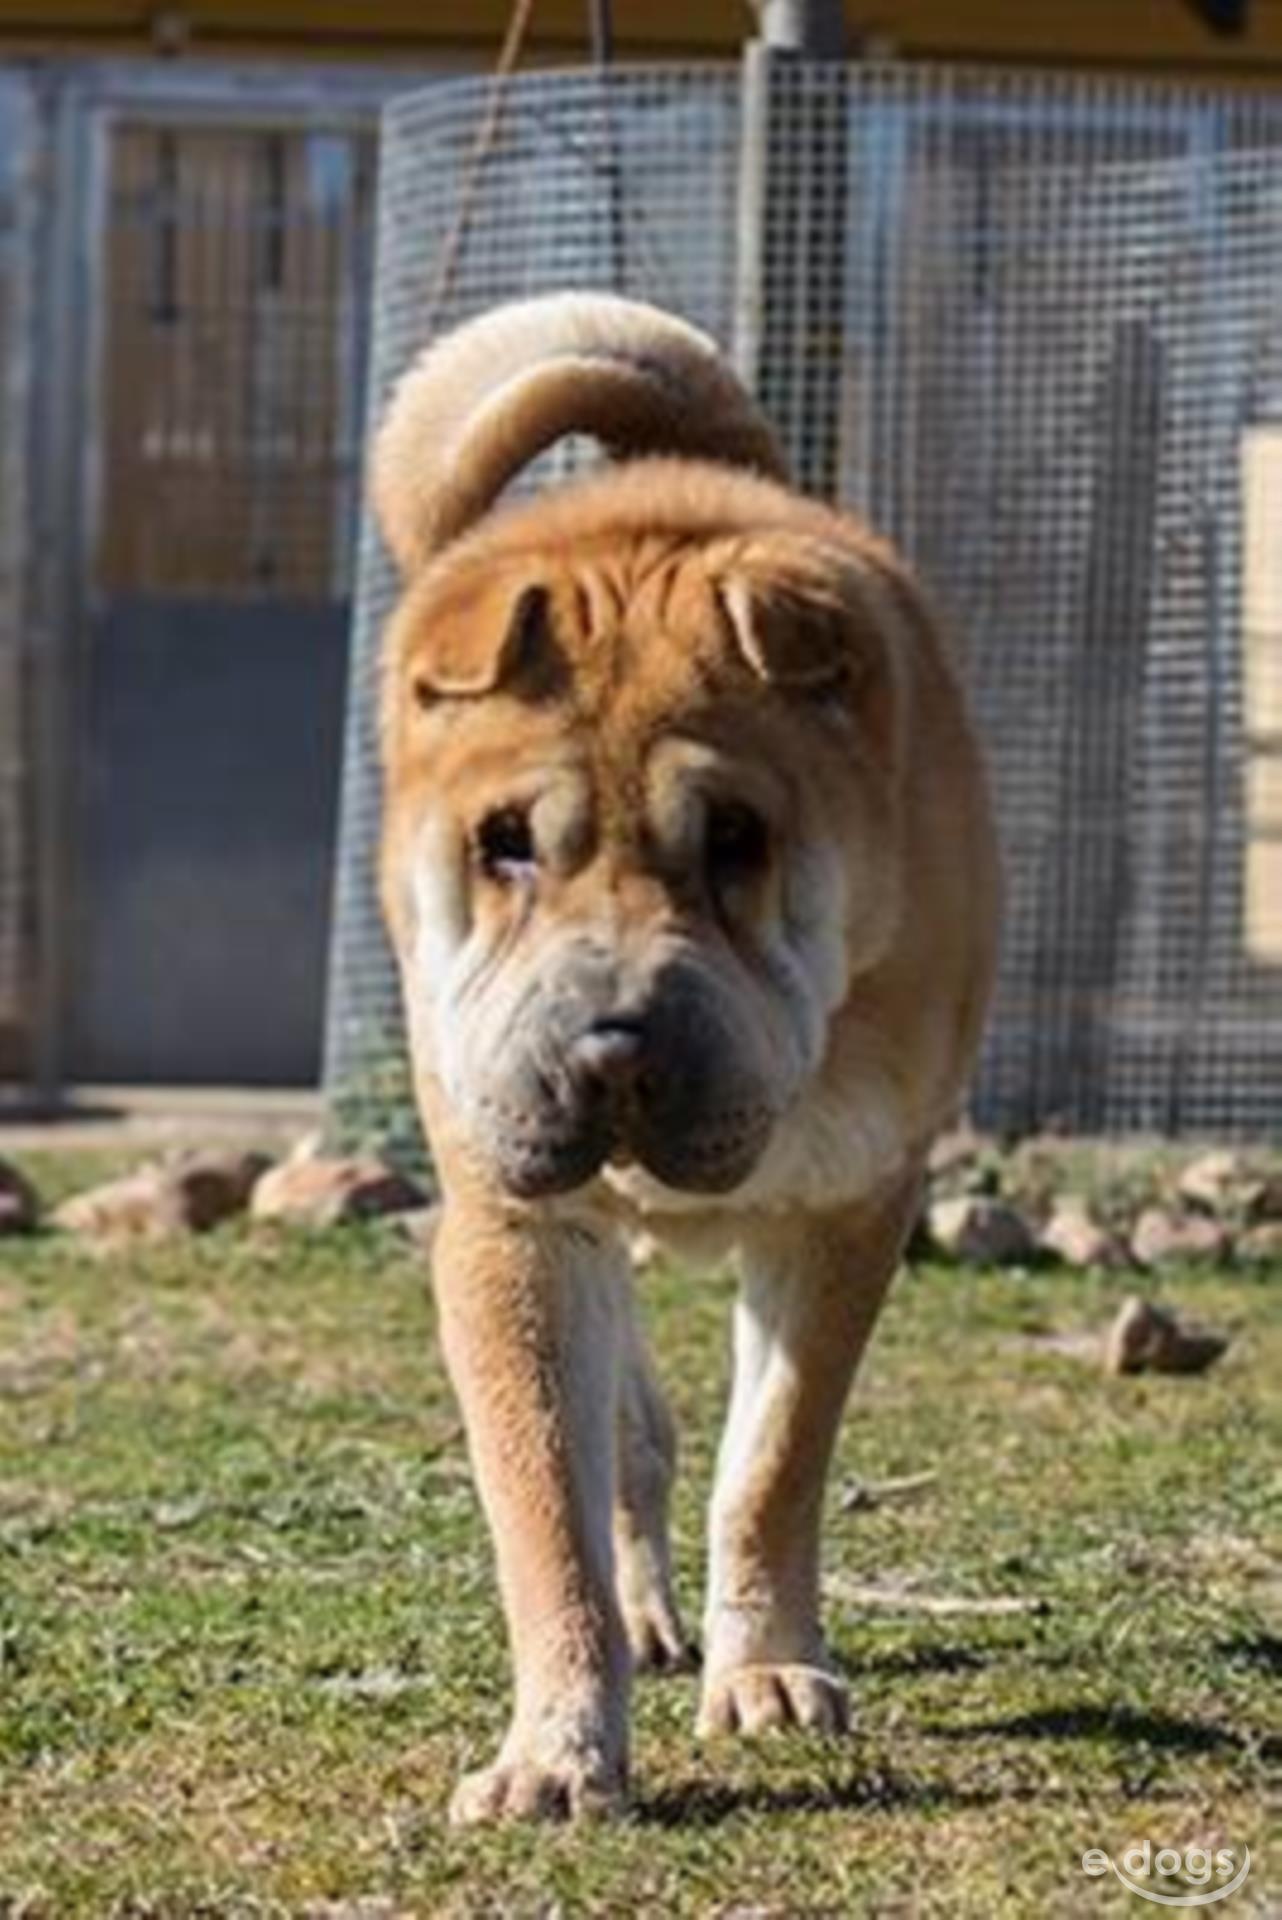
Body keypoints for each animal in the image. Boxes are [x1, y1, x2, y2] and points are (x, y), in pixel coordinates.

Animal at [370, 291, 997, 1820]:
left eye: (737, 839)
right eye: (504, 842)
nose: (612, 1044)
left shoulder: (847, 1211)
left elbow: (769, 1464)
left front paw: (765, 1673)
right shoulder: (516, 1233)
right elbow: (545, 1507)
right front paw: (553, 1752)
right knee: (631, 1439)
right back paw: (647, 1619)